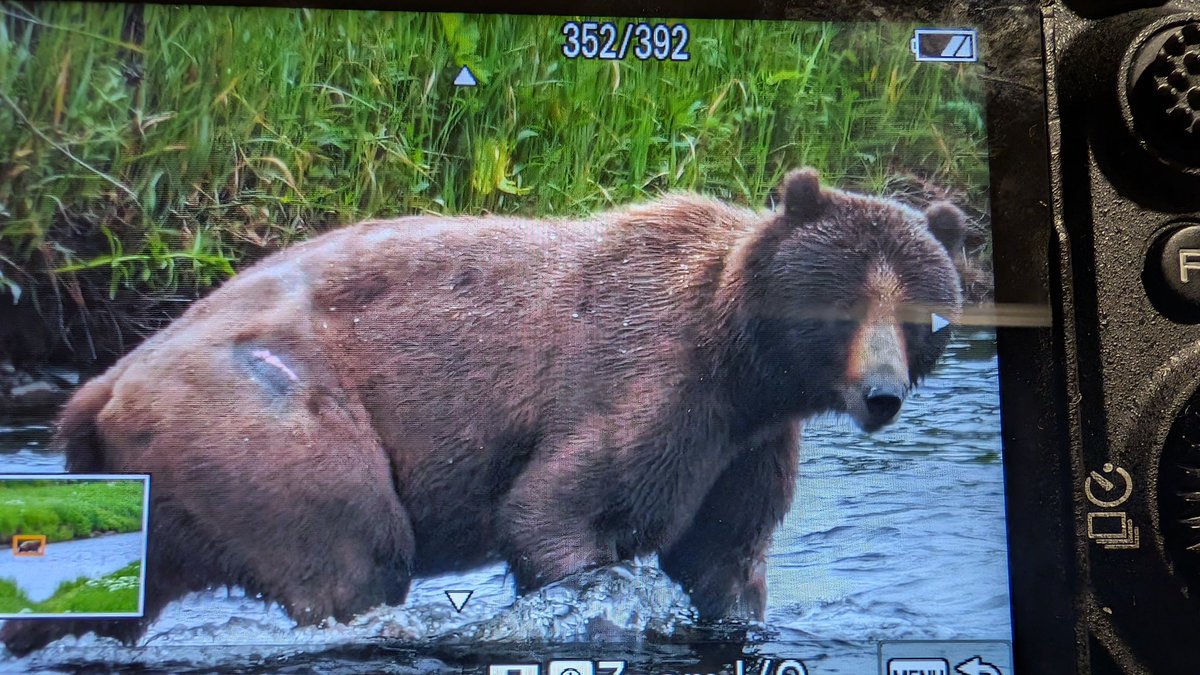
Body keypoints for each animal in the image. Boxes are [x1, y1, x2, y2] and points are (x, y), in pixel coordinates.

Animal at [0, 168, 964, 655]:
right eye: (842, 303)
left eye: (925, 312)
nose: (881, 393)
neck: (744, 360)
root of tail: (101, 383)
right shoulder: (648, 380)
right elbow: (560, 508)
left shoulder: (748, 443)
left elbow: (724, 557)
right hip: (259, 413)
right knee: (355, 549)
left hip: (158, 485)